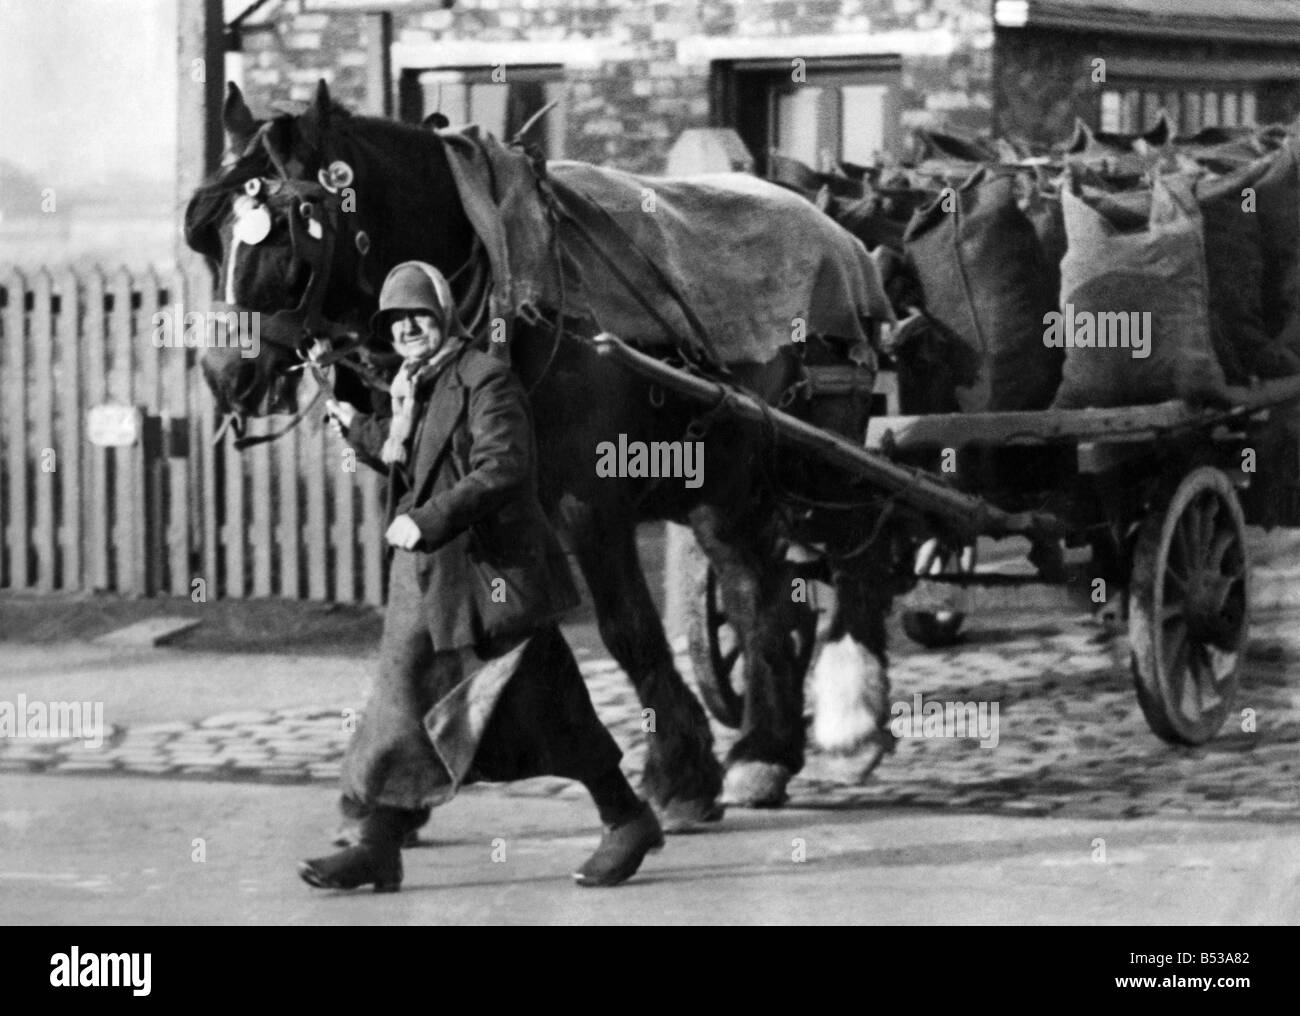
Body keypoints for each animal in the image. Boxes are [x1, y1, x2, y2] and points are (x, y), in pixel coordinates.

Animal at [188, 81, 899, 826]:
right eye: (209, 235)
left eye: (294, 232)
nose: (223, 374)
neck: (496, 259)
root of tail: (839, 238)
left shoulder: (589, 499)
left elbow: (626, 628)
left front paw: (678, 771)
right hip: (725, 485)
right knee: (756, 590)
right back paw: (765, 752)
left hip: (819, 465)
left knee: (858, 556)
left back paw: (849, 725)